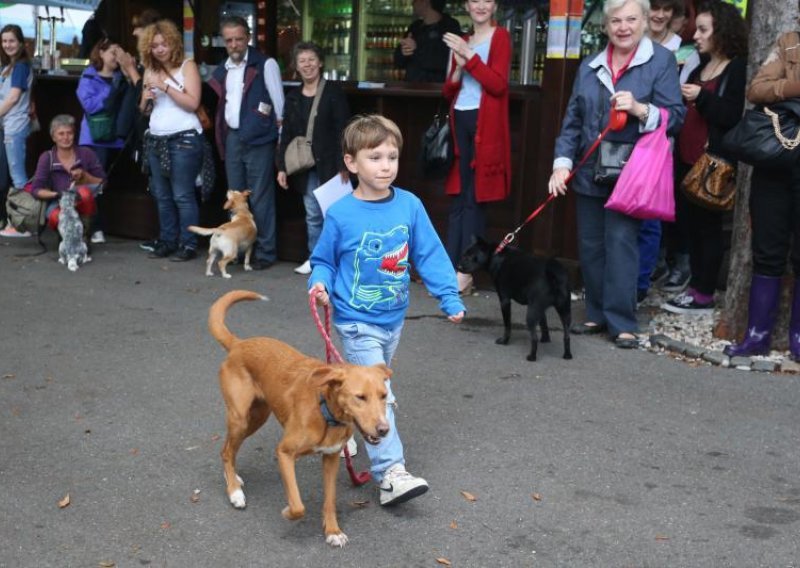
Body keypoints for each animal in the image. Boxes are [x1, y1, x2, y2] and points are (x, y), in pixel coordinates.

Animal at [208, 290, 392, 548]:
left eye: (384, 396)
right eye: (360, 397)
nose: (384, 430)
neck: (326, 413)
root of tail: (239, 343)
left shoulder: (331, 459)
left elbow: (329, 500)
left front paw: (332, 531)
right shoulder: (284, 453)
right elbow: (298, 505)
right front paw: (287, 512)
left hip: (258, 416)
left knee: (230, 450)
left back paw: (233, 478)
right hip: (240, 418)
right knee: (225, 451)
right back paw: (234, 492)